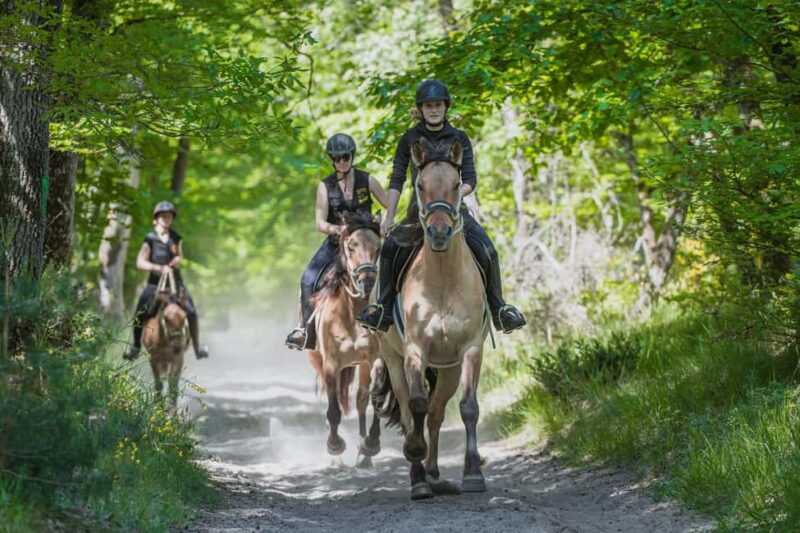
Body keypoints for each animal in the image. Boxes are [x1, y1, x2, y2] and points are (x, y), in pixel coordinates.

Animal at [142, 271, 190, 410]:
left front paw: (172, 410)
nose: (177, 346)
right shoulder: (153, 359)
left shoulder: (178, 359)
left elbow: (173, 385)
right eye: (166, 318)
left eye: (185, 316)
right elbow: (159, 384)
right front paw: (158, 407)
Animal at [306, 211, 383, 467]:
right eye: (351, 246)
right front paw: (335, 447)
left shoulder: (374, 359)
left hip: (359, 366)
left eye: (378, 247)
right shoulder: (331, 365)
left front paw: (371, 444)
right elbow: (334, 410)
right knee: (332, 403)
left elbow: (374, 398)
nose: (367, 281)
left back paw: (363, 455)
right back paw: (336, 459)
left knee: (360, 400)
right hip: (318, 362)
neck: (351, 314)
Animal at [372, 137, 488, 500]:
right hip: (393, 359)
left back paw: (435, 474)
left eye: (455, 184)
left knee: (437, 413)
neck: (442, 282)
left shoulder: (470, 349)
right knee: (410, 409)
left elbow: (468, 407)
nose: (439, 233)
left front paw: (473, 474)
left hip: (448, 368)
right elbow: (416, 405)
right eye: (420, 185)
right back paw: (420, 478)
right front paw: (415, 456)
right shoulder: (415, 351)